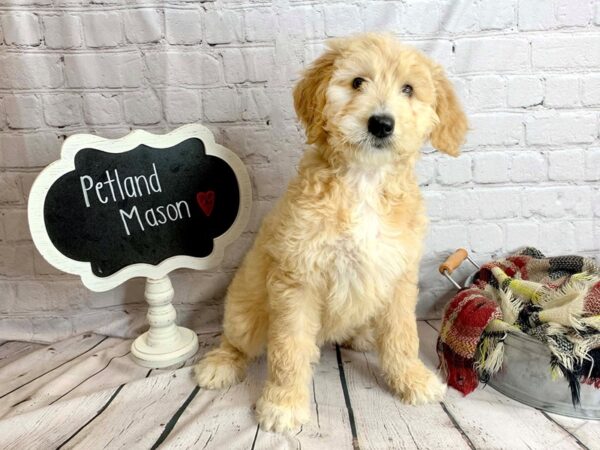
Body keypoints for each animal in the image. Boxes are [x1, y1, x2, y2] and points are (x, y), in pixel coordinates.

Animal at [195, 32, 466, 432]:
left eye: (408, 89)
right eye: (357, 82)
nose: (381, 123)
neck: (364, 181)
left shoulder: (399, 276)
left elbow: (403, 335)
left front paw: (412, 379)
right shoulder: (297, 280)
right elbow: (289, 347)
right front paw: (284, 404)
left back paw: (363, 337)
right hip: (245, 308)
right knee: (238, 339)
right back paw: (221, 363)